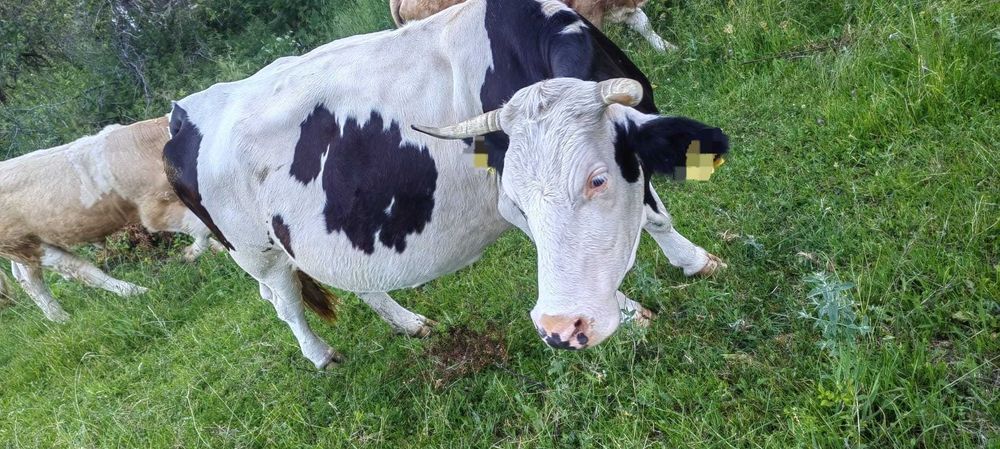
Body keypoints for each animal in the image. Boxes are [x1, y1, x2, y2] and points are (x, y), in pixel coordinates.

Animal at [0, 117, 223, 322]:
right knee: (79, 270)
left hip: (25, 245)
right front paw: (190, 253)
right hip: (26, 246)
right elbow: (203, 229)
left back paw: (58, 317)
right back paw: (134, 291)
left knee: (27, 278)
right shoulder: (154, 212)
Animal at [164, 0, 728, 369]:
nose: (562, 330)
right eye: (519, 202)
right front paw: (632, 314)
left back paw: (411, 324)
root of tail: (180, 113)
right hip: (254, 251)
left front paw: (697, 261)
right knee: (283, 301)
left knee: (356, 282)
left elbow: (655, 214)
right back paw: (321, 356)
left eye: (597, 179)